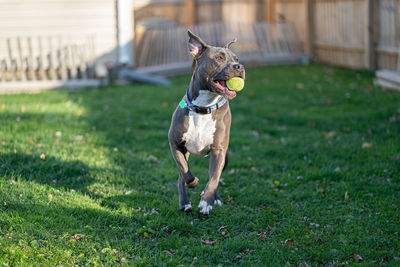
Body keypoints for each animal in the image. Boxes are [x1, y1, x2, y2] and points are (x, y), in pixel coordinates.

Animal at [168, 30, 245, 216]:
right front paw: (193, 183)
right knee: (181, 175)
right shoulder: (175, 144)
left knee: (215, 177)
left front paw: (206, 202)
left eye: (236, 59)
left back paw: (214, 198)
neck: (204, 105)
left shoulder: (219, 151)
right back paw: (185, 202)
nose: (239, 67)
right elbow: (184, 170)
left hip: (226, 156)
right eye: (219, 58)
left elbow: (214, 178)